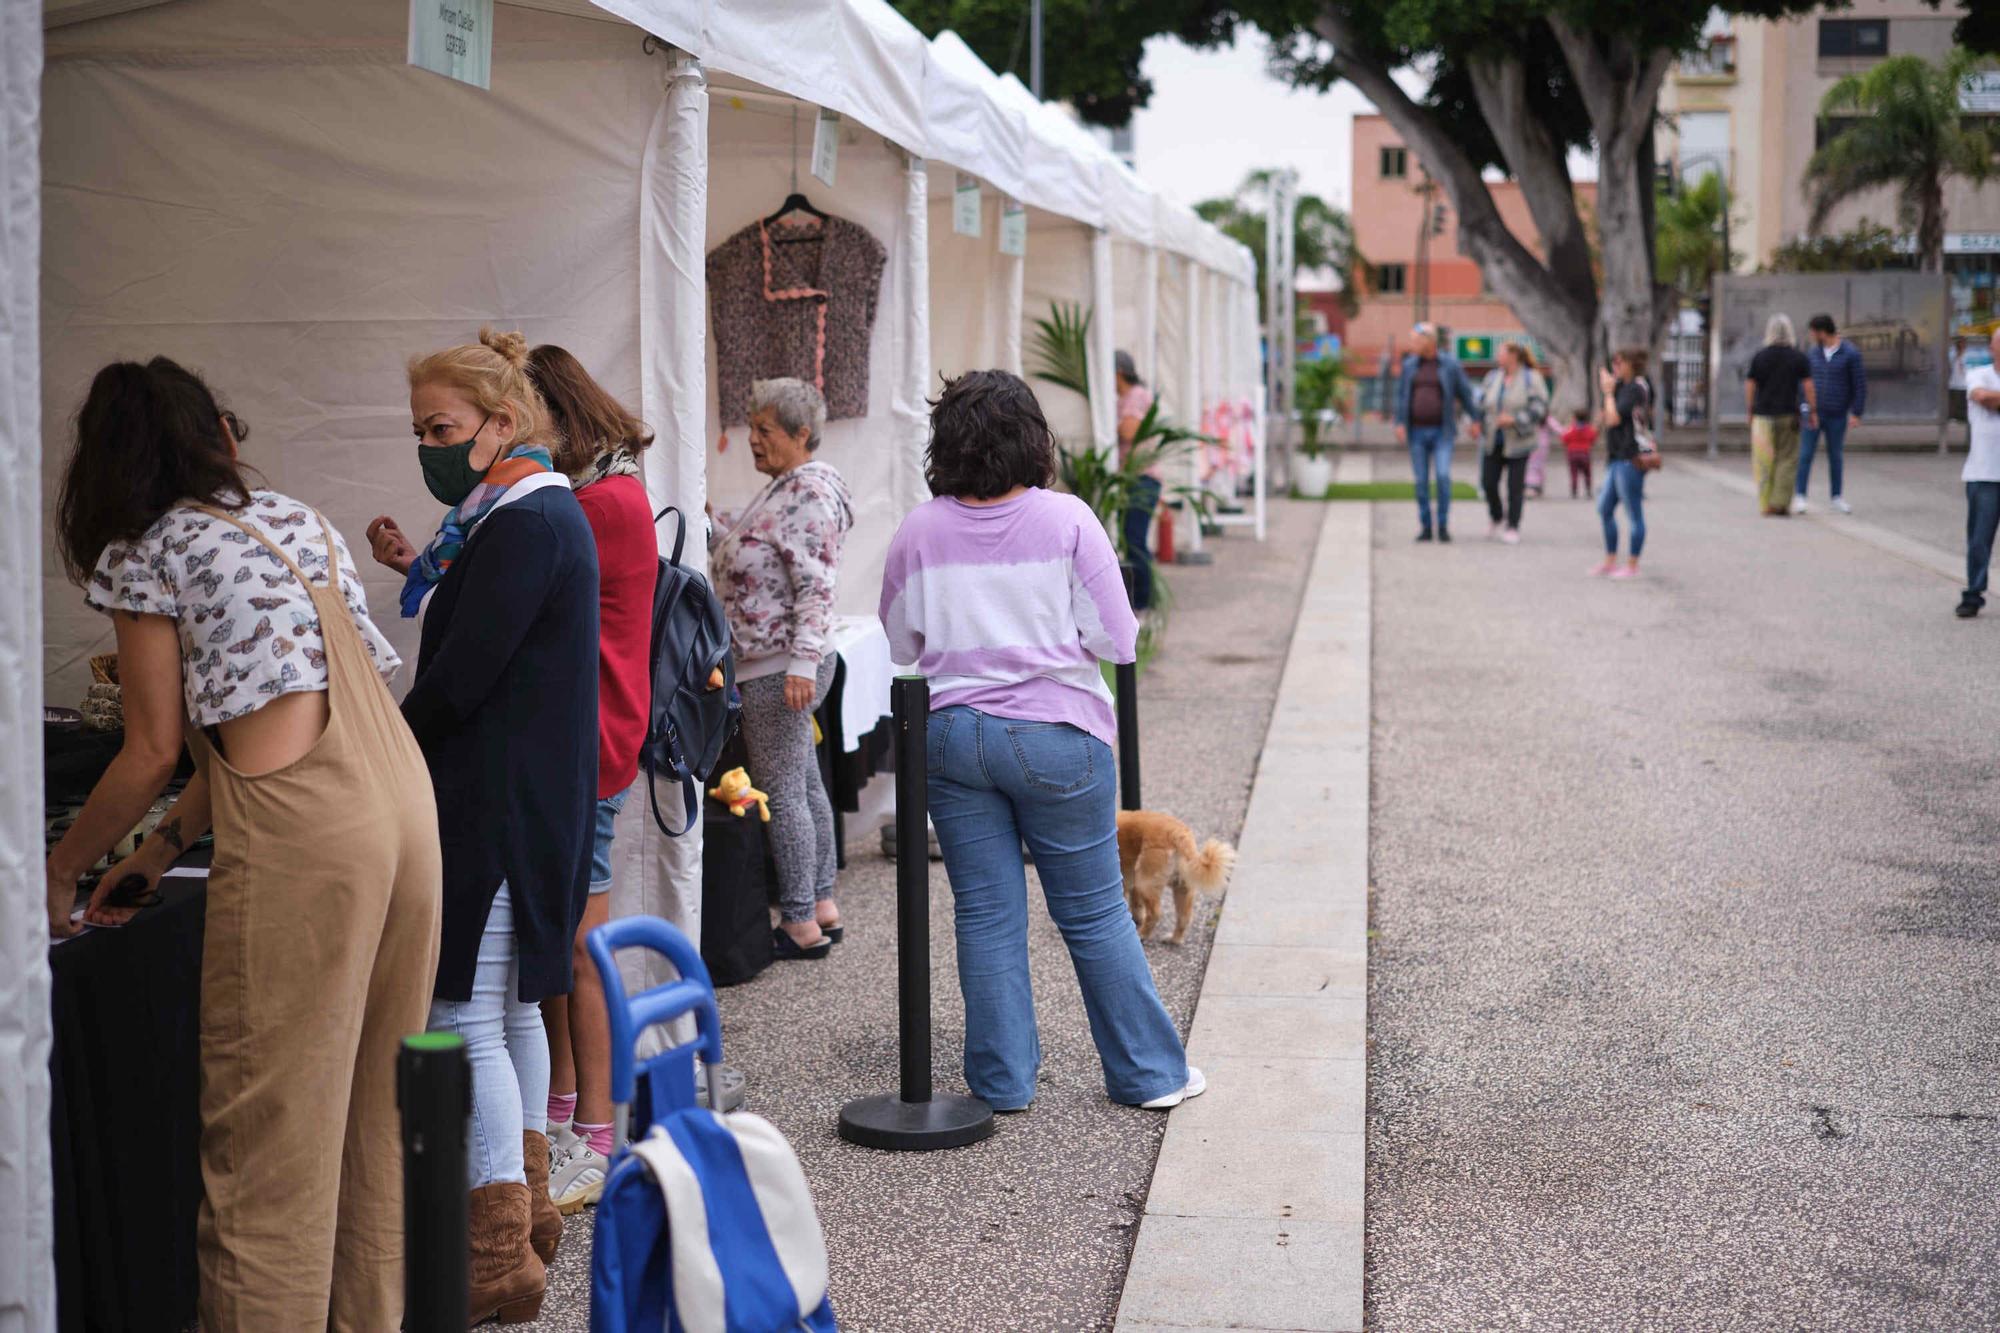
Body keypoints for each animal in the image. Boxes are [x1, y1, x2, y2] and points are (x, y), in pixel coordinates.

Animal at [1112, 804, 1232, 940]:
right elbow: (1136, 904)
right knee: (1184, 918)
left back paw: (1142, 934)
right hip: (1182, 888)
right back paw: (1174, 939)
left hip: (1144, 882)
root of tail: (1177, 832)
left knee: (1155, 914)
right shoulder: (1130, 883)